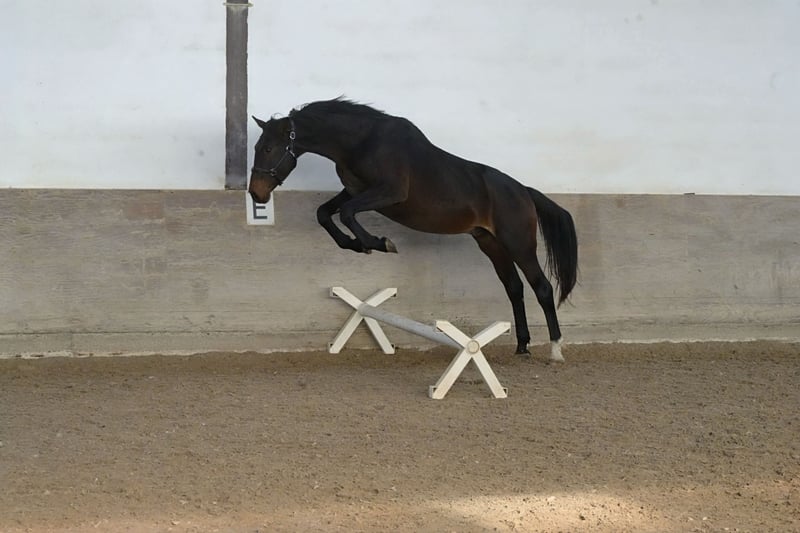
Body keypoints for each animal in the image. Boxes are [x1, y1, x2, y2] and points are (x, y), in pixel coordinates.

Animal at [249, 98, 578, 361]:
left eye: (267, 148)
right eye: (257, 147)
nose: (256, 193)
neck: (363, 142)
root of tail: (524, 191)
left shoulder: (389, 192)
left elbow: (347, 213)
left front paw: (379, 243)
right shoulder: (354, 190)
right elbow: (325, 214)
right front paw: (358, 244)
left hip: (518, 244)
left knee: (542, 288)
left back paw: (556, 350)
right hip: (491, 244)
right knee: (514, 288)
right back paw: (522, 347)